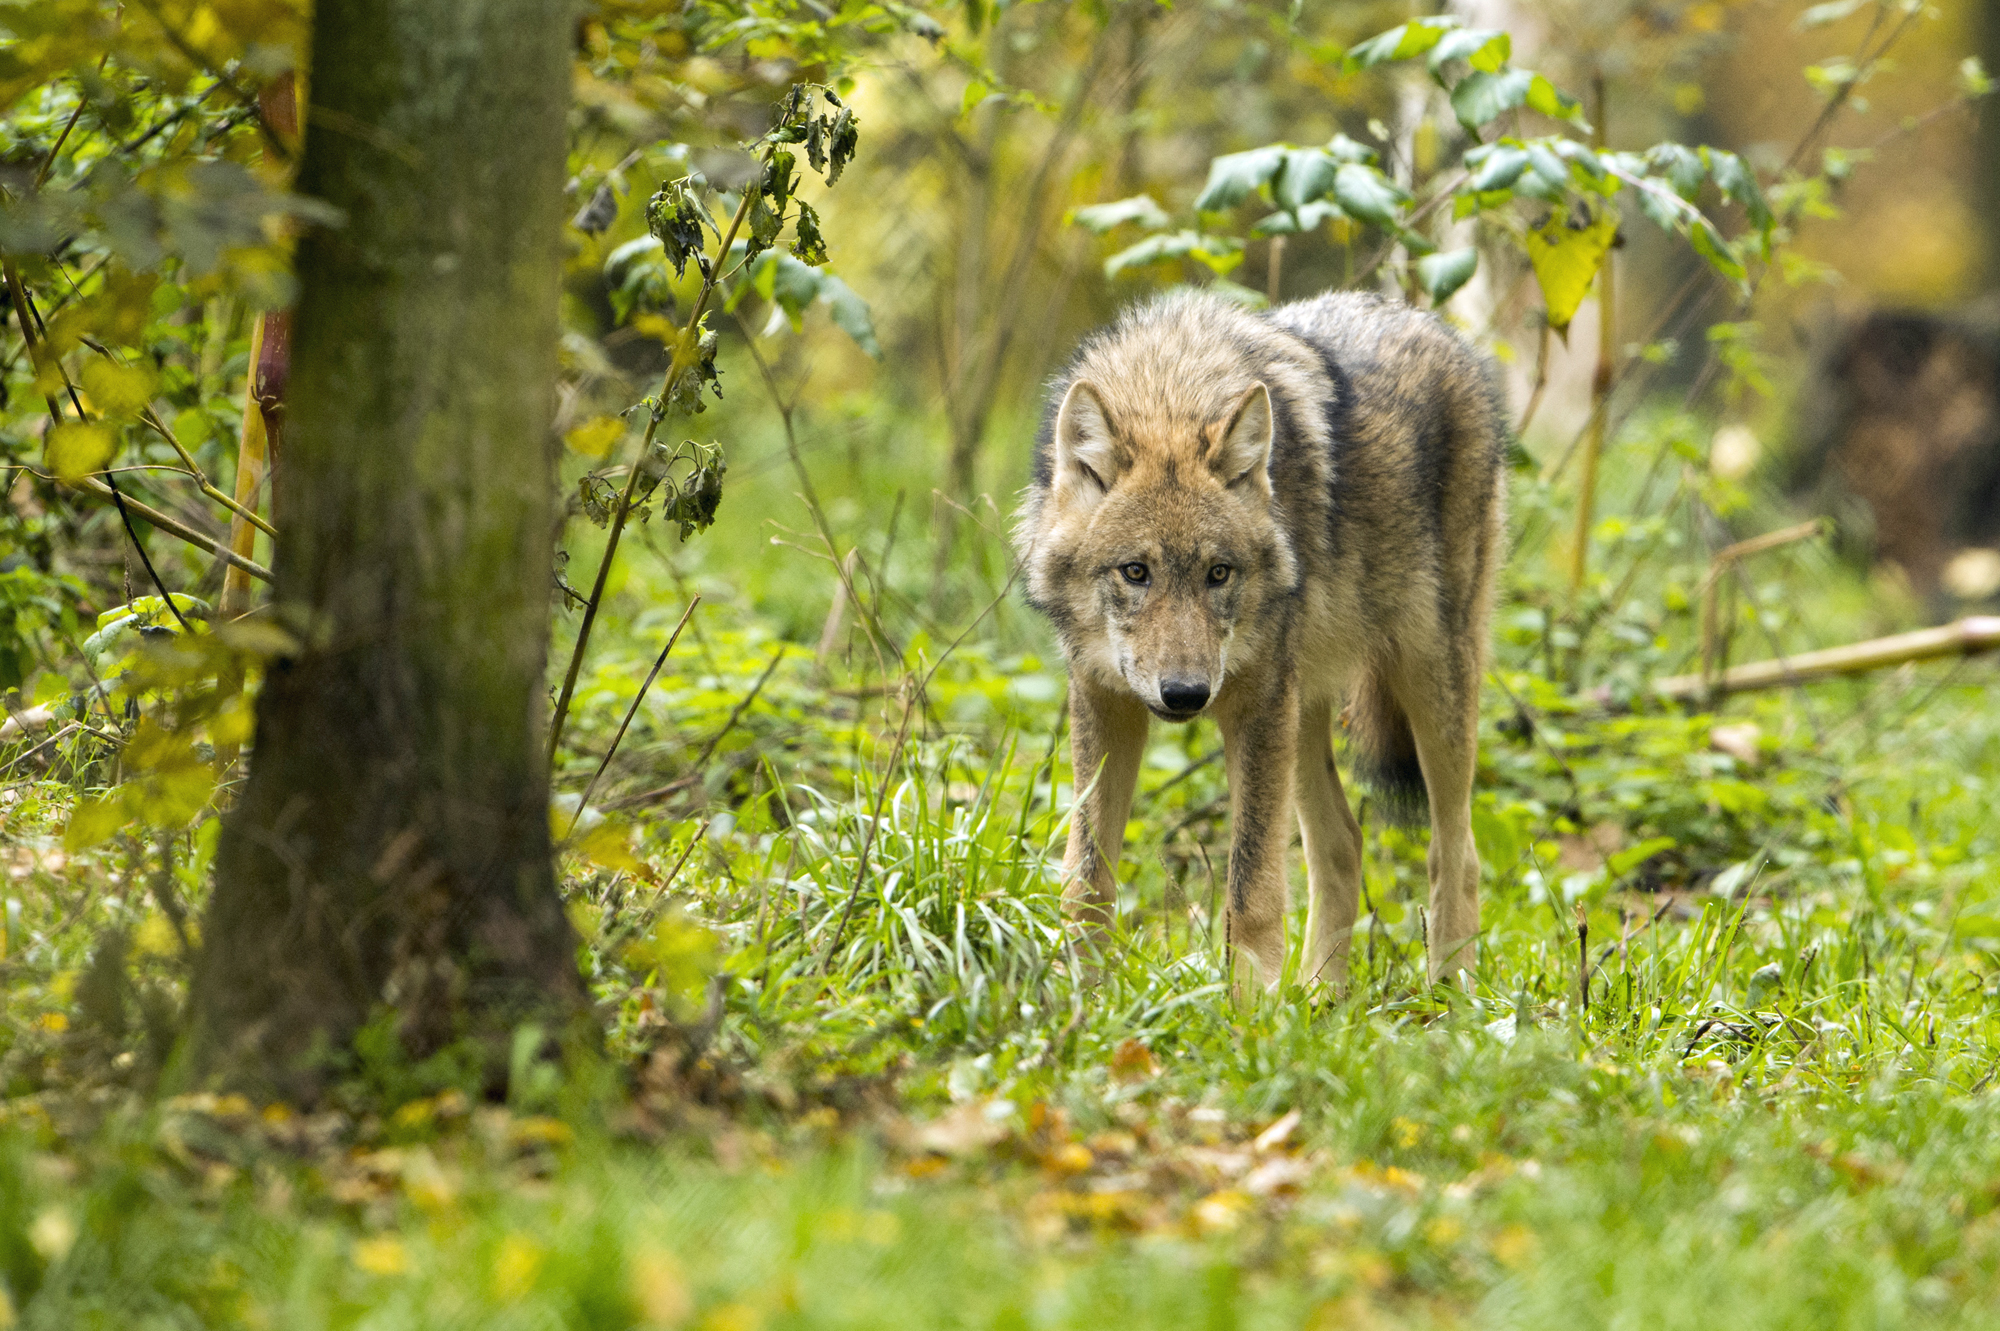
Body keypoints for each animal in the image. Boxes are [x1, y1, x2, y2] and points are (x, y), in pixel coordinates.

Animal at [1016, 293, 1504, 995]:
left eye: (1219, 573)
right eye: (1135, 572)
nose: (1186, 695)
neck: (1169, 386)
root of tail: (1431, 323)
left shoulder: (1255, 702)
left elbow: (1251, 885)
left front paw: (1248, 1004)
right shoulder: (1104, 700)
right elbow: (1085, 876)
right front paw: (1082, 994)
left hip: (1427, 682)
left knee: (1455, 852)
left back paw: (1453, 996)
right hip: (1301, 715)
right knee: (1343, 845)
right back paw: (1321, 998)